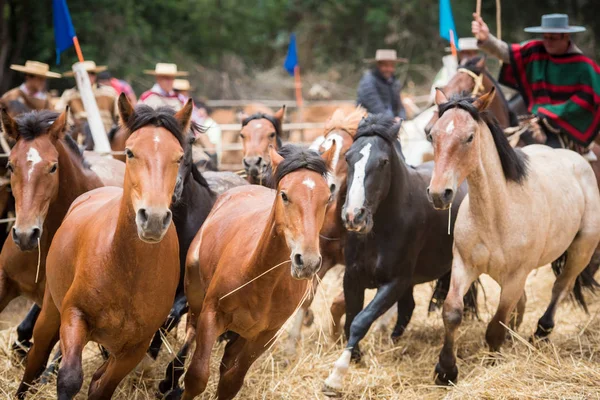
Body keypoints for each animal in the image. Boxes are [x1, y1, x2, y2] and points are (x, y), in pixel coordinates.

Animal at [16, 98, 190, 398]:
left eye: (179, 156)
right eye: (130, 152)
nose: (154, 219)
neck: (126, 268)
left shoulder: (135, 347)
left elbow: (101, 387)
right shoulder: (74, 316)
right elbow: (69, 378)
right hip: (51, 311)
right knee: (37, 354)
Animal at [159, 145, 332, 398]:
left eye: (328, 198)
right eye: (284, 195)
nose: (307, 261)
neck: (261, 278)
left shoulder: (264, 336)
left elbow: (231, 383)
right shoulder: (212, 314)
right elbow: (196, 377)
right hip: (196, 294)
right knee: (191, 327)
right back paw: (169, 378)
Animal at [324, 114, 474, 392]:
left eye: (383, 162)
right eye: (349, 158)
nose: (353, 216)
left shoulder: (395, 282)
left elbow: (361, 320)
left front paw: (336, 375)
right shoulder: (352, 278)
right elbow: (351, 318)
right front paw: (356, 356)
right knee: (408, 307)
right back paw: (394, 340)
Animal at [426, 90, 600, 384]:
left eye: (469, 137)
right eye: (432, 135)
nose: (439, 194)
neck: (496, 213)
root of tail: (579, 161)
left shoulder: (516, 276)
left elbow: (496, 325)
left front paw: (492, 360)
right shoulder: (464, 265)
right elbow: (452, 312)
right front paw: (446, 370)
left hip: (581, 250)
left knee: (560, 287)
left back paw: (541, 332)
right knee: (526, 301)